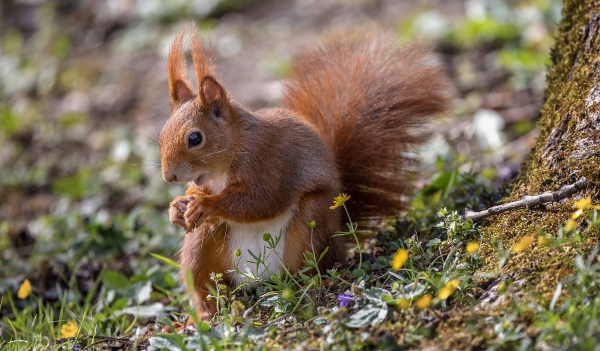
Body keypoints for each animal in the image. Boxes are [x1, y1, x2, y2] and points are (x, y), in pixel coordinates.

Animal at [159, 22, 450, 320]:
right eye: (161, 134)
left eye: (195, 138)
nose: (168, 176)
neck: (233, 149)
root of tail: (261, 277)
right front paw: (177, 207)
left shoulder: (269, 163)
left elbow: (260, 201)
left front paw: (205, 205)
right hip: (202, 244)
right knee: (204, 278)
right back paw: (205, 310)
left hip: (312, 224)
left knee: (312, 267)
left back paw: (311, 284)